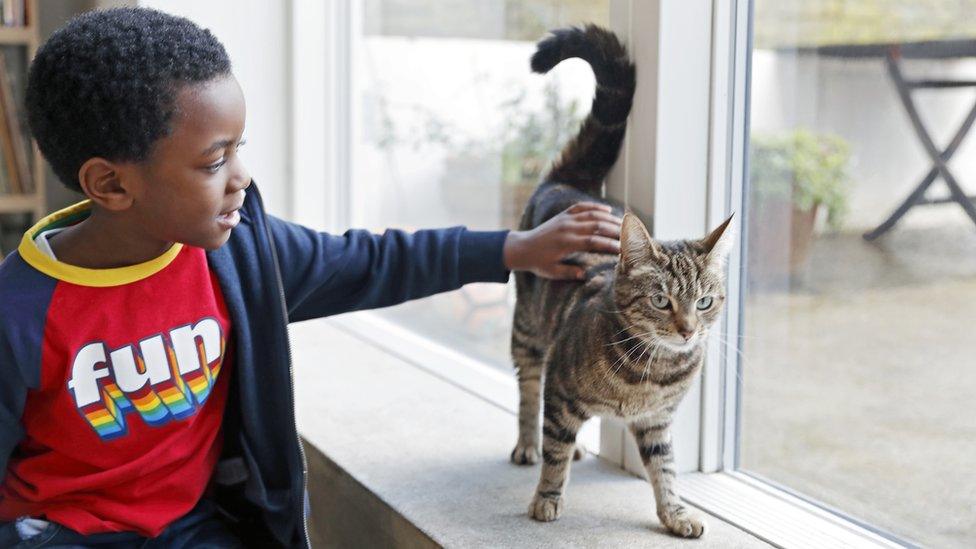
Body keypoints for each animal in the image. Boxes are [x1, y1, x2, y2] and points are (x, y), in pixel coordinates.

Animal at [510, 24, 732, 536]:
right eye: (661, 301)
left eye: (705, 302)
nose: (688, 330)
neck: (651, 374)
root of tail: (574, 184)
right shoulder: (561, 391)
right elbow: (554, 452)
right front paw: (547, 497)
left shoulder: (657, 421)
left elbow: (665, 468)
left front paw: (675, 513)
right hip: (528, 329)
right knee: (529, 390)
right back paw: (528, 443)